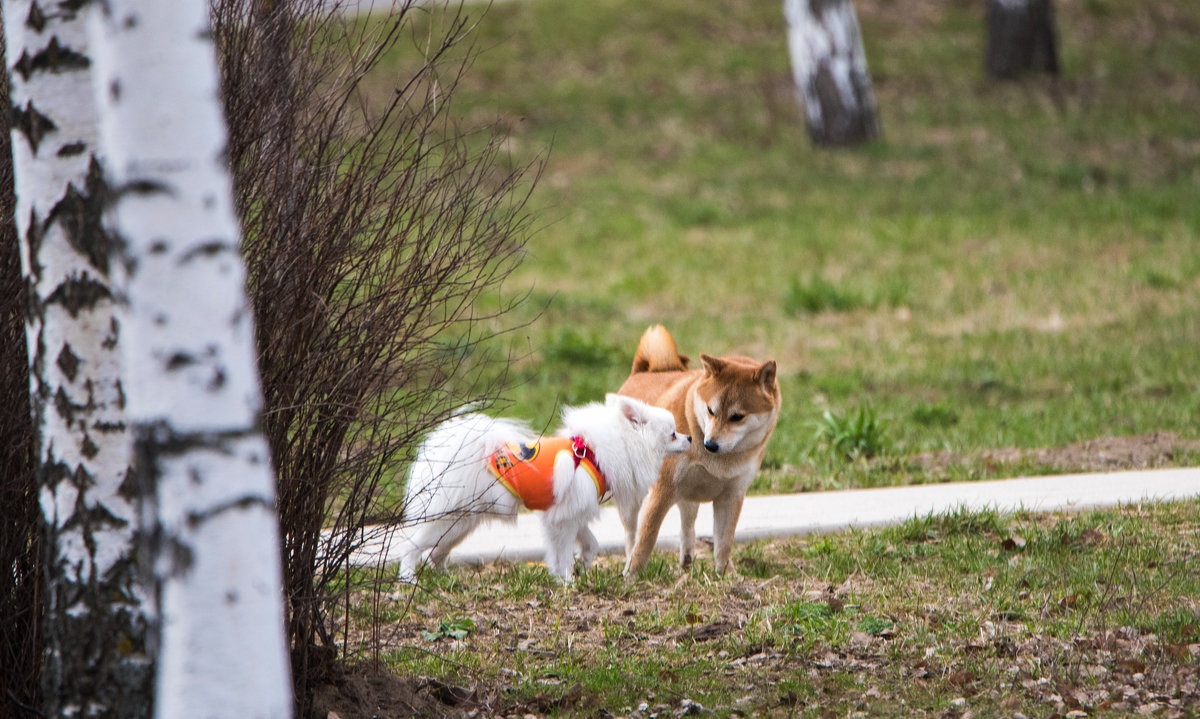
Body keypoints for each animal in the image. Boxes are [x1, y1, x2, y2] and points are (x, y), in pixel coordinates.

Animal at [398, 391, 691, 583]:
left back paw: (446, 578)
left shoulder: (573, 512)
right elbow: (562, 553)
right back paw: (408, 579)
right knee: (412, 545)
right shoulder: (562, 520)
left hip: (460, 523)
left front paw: (582, 566)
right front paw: (566, 581)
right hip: (446, 518)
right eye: (672, 434)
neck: (593, 453)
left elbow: (590, 543)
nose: (689, 437)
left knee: (436, 552)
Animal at [619, 324, 777, 573]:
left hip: (688, 496)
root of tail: (642, 373)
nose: (710, 444)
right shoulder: (662, 490)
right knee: (631, 534)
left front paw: (726, 574)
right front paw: (633, 574)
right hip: (632, 494)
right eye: (711, 410)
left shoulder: (732, 495)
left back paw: (686, 562)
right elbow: (646, 538)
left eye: (738, 416)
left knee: (687, 526)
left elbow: (724, 542)